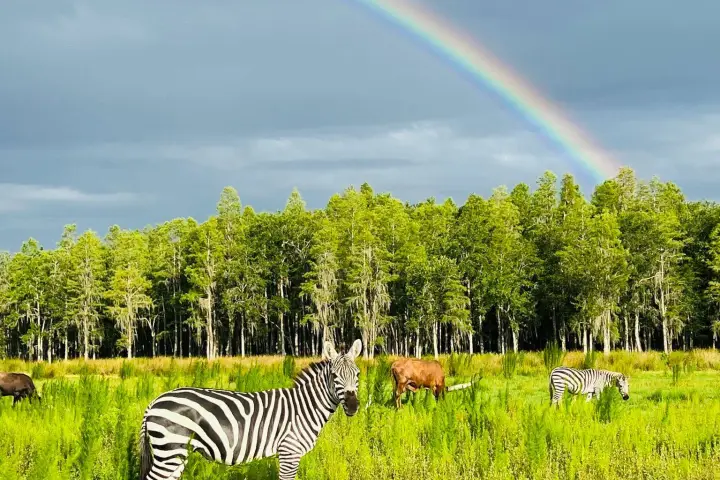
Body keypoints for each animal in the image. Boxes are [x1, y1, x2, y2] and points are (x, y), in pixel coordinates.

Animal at [139, 339, 363, 480]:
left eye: (358, 374)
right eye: (334, 375)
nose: (353, 406)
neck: (304, 407)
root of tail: (154, 401)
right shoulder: (289, 451)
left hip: (176, 452)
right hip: (169, 449)